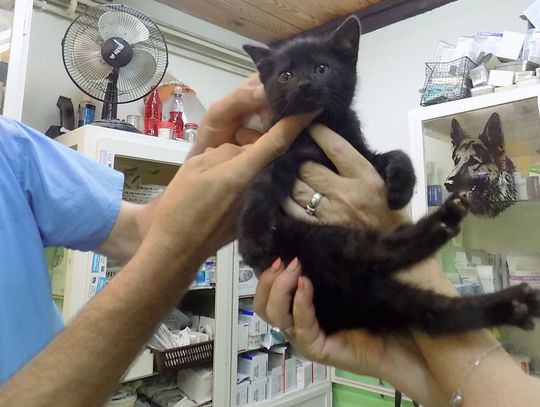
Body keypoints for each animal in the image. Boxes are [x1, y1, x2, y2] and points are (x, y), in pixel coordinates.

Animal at [238, 16, 540, 335]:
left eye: (321, 68)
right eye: (285, 75)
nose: (304, 84)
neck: (323, 125)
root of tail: (344, 302)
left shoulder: (362, 153)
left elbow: (398, 154)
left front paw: (400, 190)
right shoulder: (280, 153)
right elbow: (261, 182)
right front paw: (252, 240)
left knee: (423, 298)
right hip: (321, 242)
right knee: (403, 279)